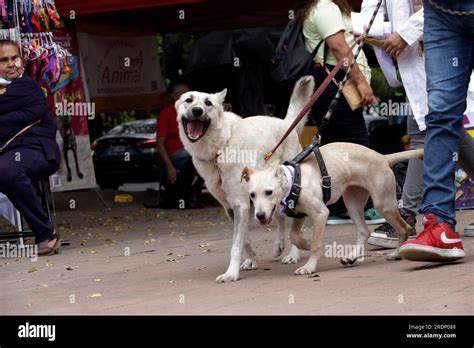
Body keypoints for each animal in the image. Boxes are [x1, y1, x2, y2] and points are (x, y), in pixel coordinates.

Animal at [174, 76, 314, 282]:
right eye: (188, 100)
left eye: (208, 103)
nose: (197, 111)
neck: (219, 149)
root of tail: (285, 123)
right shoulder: (231, 207)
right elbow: (244, 239)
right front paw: (251, 261)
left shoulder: (240, 204)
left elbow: (235, 244)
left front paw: (231, 273)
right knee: (280, 218)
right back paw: (279, 246)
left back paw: (292, 255)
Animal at [243, 143, 424, 276]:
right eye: (252, 195)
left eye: (269, 192)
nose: (260, 215)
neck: (292, 180)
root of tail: (382, 157)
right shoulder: (299, 215)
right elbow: (294, 236)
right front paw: (306, 243)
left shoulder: (320, 213)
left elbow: (316, 244)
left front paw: (309, 266)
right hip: (352, 203)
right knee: (364, 231)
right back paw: (352, 257)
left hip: (383, 204)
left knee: (404, 228)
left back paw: (397, 254)